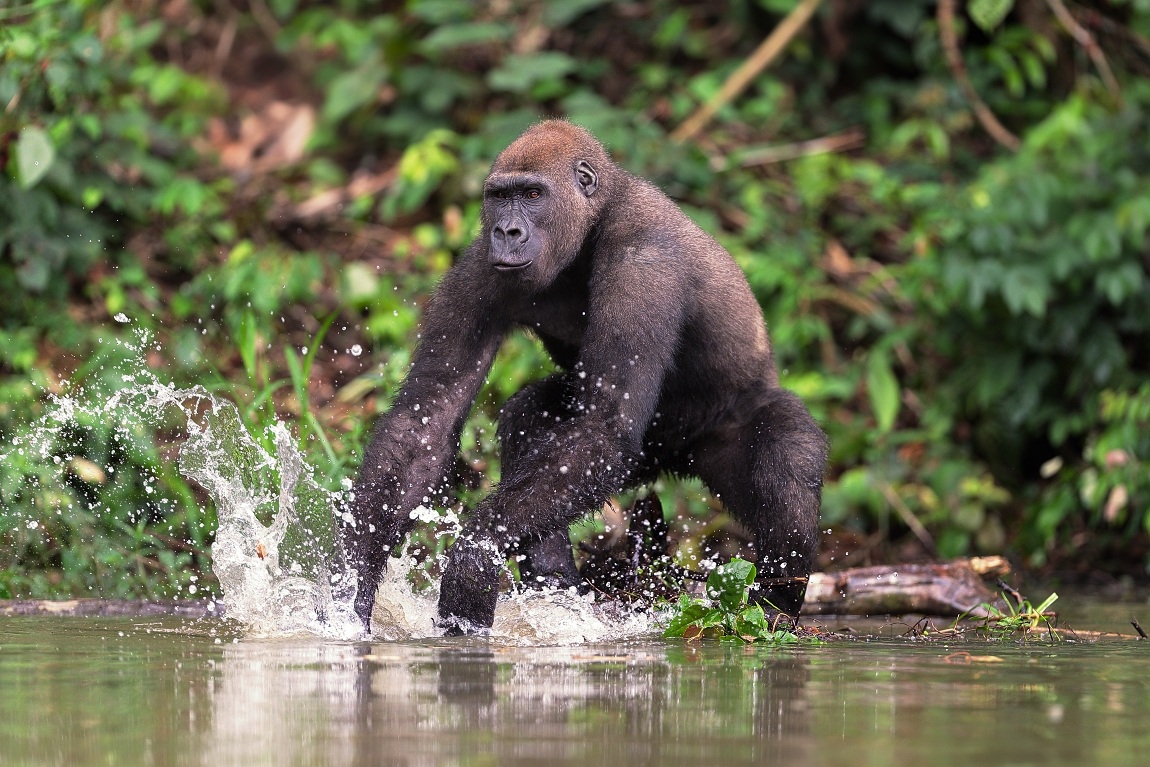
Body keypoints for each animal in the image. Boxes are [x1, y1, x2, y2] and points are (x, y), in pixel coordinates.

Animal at [343, 120, 827, 634]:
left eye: (532, 194)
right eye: (499, 196)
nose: (506, 231)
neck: (594, 222)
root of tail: (676, 458)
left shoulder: (644, 266)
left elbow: (604, 426)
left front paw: (475, 554)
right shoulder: (476, 270)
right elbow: (426, 420)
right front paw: (349, 586)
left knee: (789, 455)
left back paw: (775, 606)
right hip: (648, 456)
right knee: (532, 419)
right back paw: (557, 583)